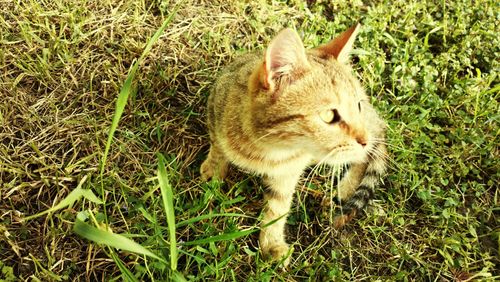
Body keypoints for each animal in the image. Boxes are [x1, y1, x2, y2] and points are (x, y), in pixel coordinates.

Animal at [199, 23, 386, 264]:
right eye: (329, 116)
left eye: (358, 106)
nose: (363, 139)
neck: (269, 149)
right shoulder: (215, 108)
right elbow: (218, 147)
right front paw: (214, 169)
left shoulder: (288, 173)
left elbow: (277, 208)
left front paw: (272, 242)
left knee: (364, 157)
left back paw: (344, 188)